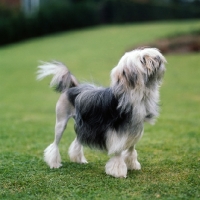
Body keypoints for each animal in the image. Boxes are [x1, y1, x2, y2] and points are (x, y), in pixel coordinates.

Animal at [36, 47, 166, 177]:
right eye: (142, 60)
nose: (158, 58)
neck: (133, 94)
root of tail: (72, 87)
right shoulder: (117, 133)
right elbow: (118, 152)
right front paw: (118, 171)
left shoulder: (133, 130)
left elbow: (131, 150)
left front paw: (132, 165)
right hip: (61, 122)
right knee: (55, 144)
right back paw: (54, 164)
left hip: (84, 124)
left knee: (78, 140)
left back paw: (79, 160)